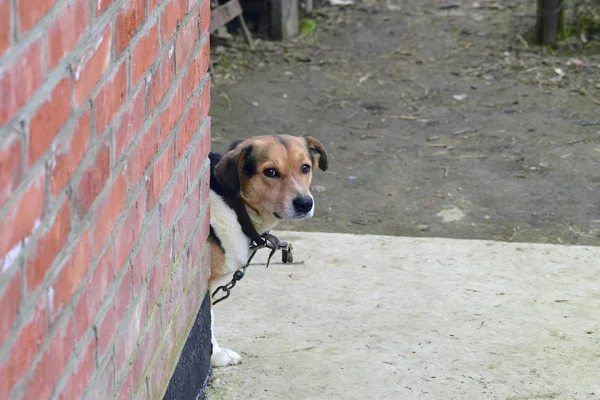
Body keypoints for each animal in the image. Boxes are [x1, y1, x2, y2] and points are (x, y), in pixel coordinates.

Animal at [206, 135, 328, 368]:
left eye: (305, 168)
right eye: (270, 172)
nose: (305, 204)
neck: (235, 205)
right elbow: (208, 322)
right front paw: (215, 355)